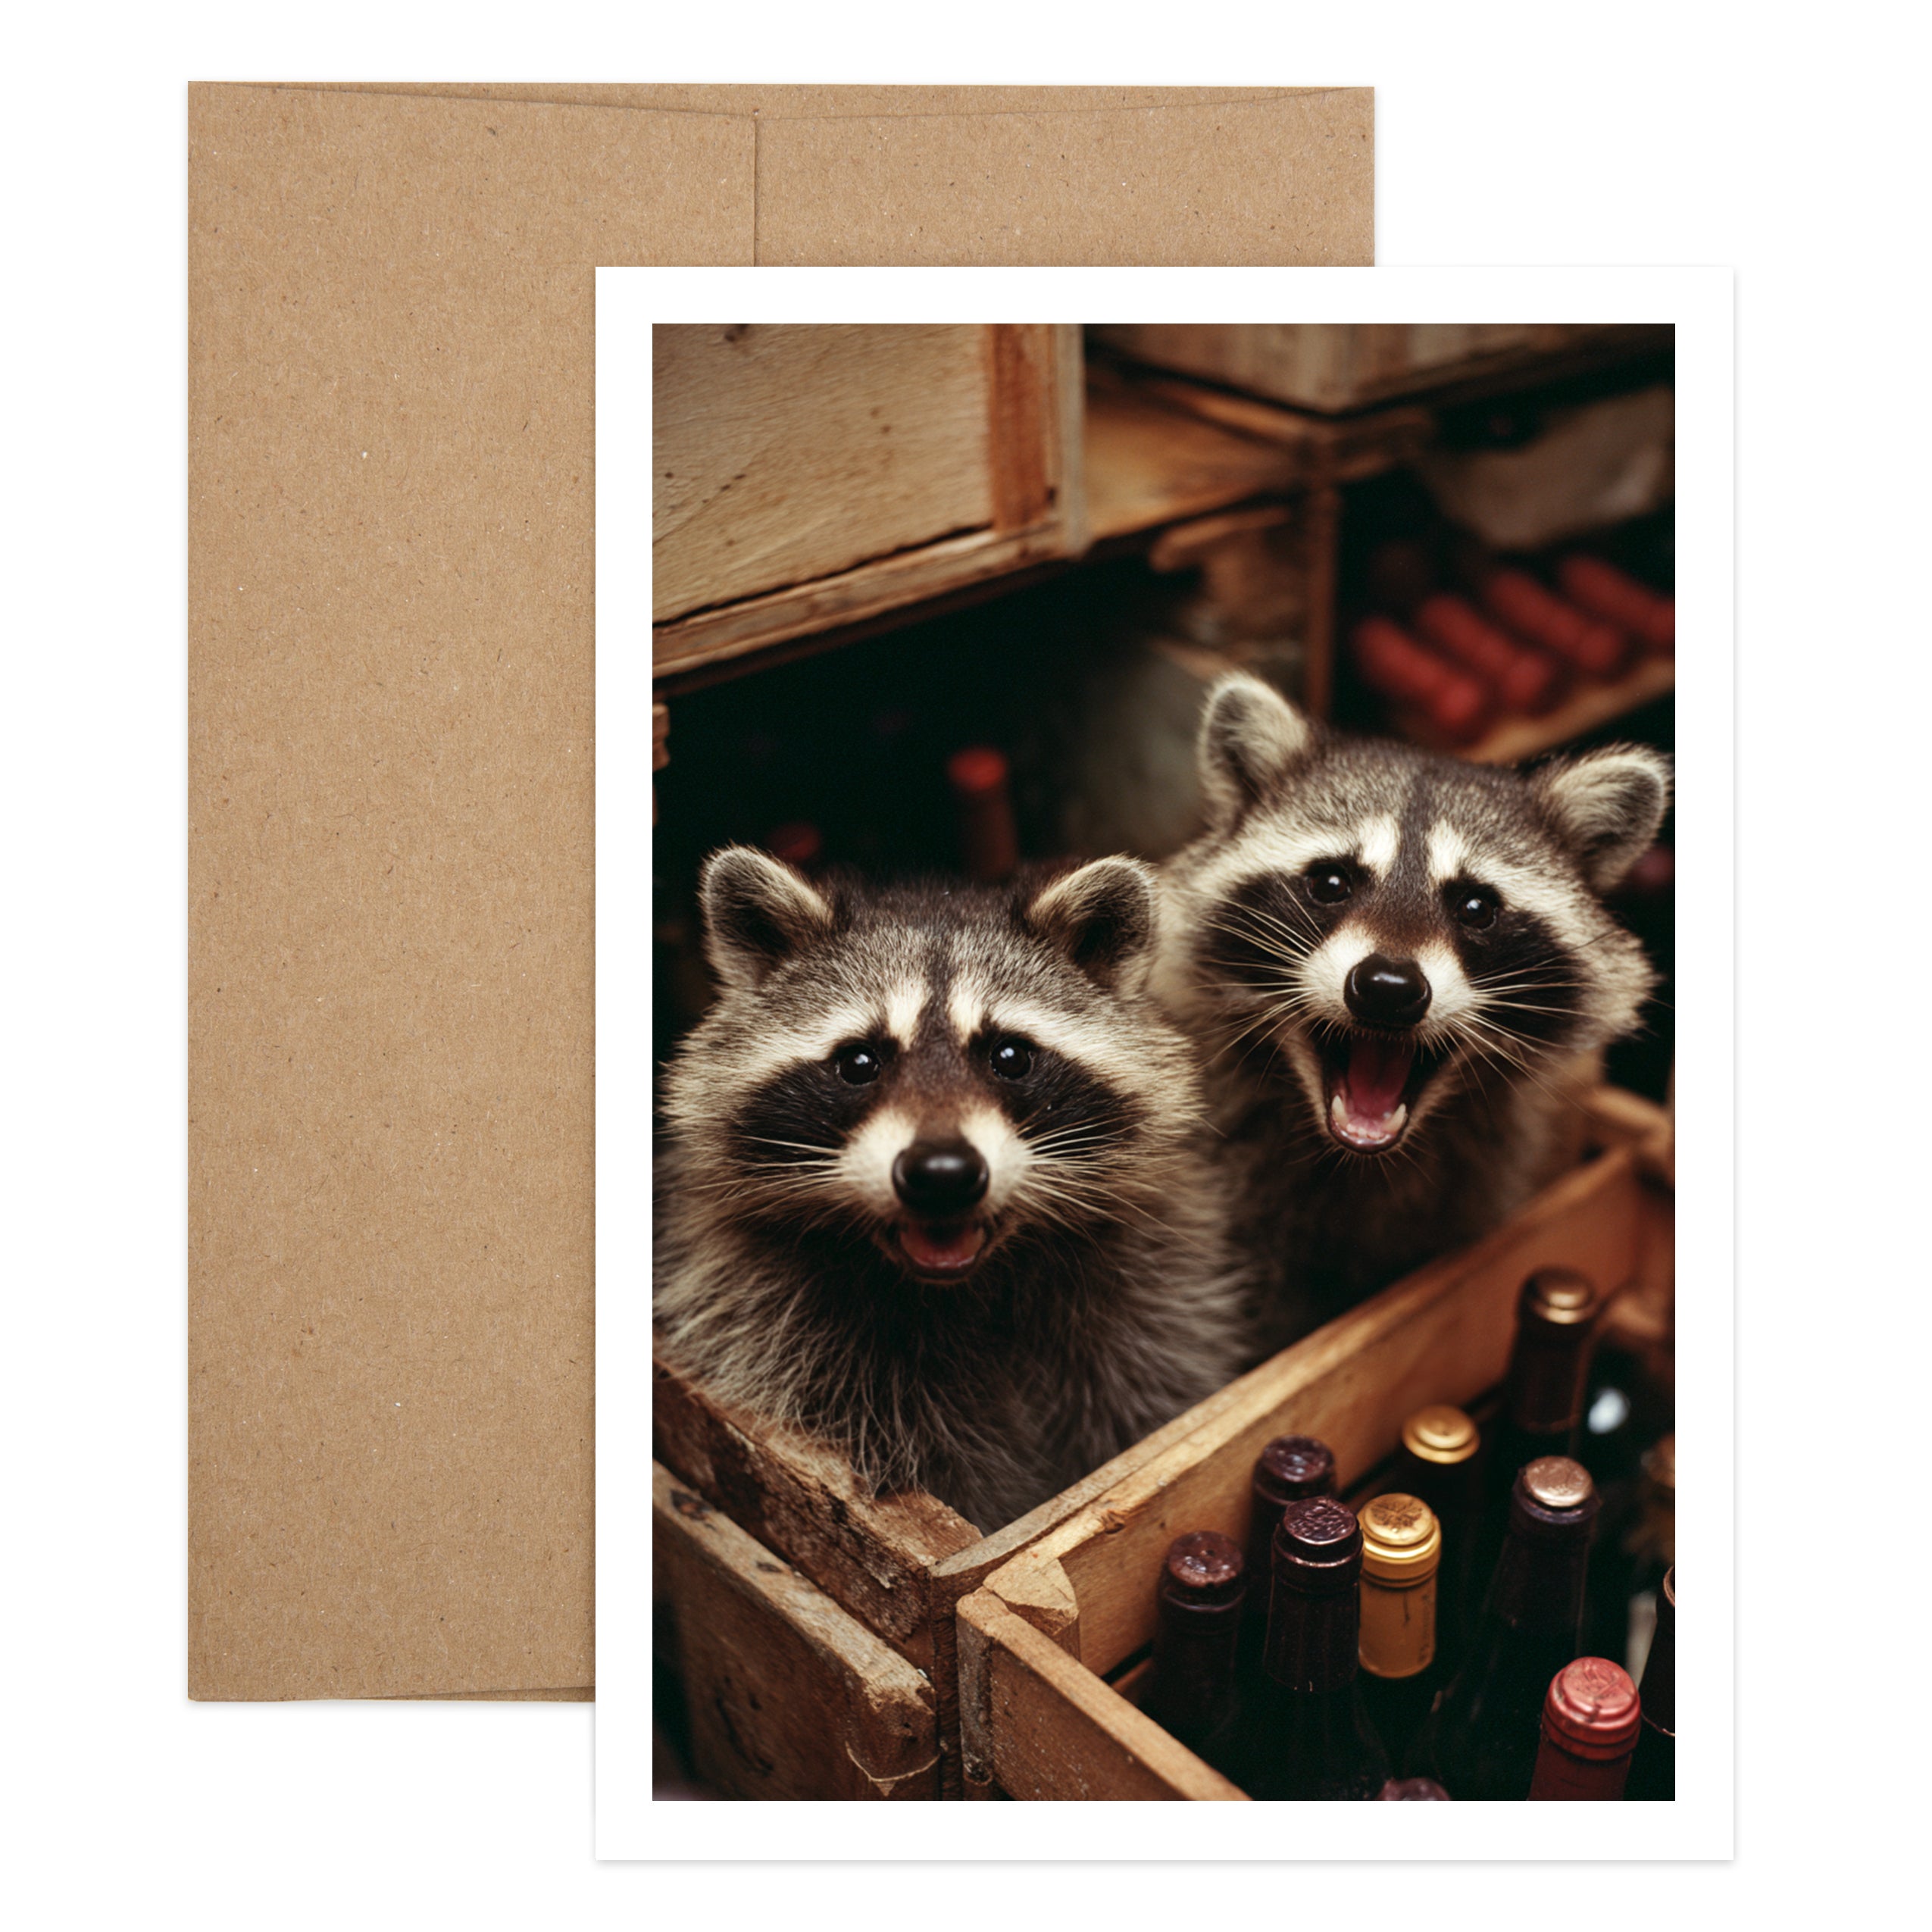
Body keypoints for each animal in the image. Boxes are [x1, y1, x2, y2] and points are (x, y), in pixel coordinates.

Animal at [654, 846, 1246, 1532]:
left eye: (1010, 1056)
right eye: (859, 1063)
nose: (942, 1175)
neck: (970, 1286)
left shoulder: (1144, 1296)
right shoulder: (777, 1328)